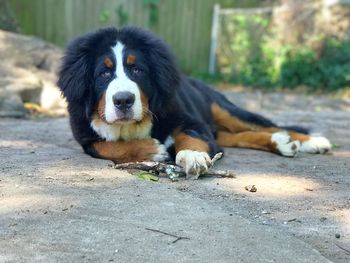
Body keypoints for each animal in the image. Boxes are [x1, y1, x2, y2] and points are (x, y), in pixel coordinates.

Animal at [57, 26, 330, 179]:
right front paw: (152, 149)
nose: (123, 100)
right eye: (103, 73)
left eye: (137, 70)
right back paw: (281, 142)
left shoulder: (190, 121)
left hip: (223, 109)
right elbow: (106, 146)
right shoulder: (85, 136)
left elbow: (190, 137)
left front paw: (192, 157)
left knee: (265, 125)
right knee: (239, 136)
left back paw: (311, 141)